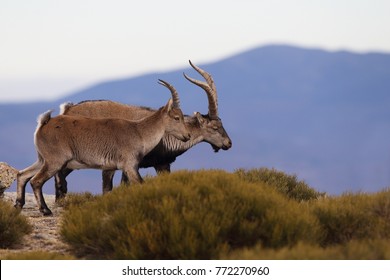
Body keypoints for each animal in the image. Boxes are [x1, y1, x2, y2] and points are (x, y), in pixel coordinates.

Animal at [14, 82, 191, 215]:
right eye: (177, 118)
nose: (187, 135)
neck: (139, 132)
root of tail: (43, 123)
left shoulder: (113, 167)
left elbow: (110, 189)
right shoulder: (130, 166)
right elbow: (140, 185)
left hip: (42, 159)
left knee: (22, 175)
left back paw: (18, 204)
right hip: (55, 161)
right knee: (36, 181)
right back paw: (45, 210)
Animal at [54, 61, 232, 199]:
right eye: (215, 127)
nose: (228, 143)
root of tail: (68, 109)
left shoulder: (161, 164)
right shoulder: (122, 164)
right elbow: (111, 188)